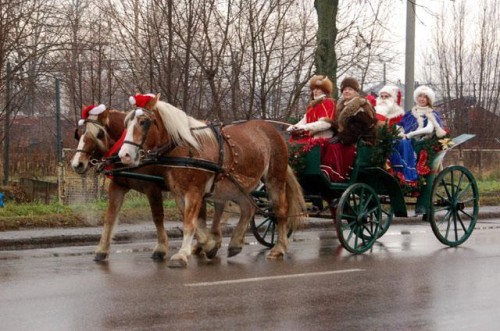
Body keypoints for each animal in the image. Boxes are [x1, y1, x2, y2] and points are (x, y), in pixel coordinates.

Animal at [70, 108, 227, 262]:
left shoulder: (152, 188)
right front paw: (102, 249)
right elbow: (110, 217)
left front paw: (161, 248)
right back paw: (203, 244)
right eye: (79, 134)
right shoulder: (117, 186)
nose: (77, 164)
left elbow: (157, 216)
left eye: (99, 134)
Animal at [119, 94, 306, 268]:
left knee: (280, 211)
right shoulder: (179, 193)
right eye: (126, 123)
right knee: (248, 207)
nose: (124, 155)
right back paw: (235, 243)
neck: (186, 149)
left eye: (143, 122)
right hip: (234, 186)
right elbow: (195, 223)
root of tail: (272, 129)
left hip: (274, 178)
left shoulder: (194, 192)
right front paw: (209, 246)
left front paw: (182, 254)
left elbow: (190, 223)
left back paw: (278, 248)